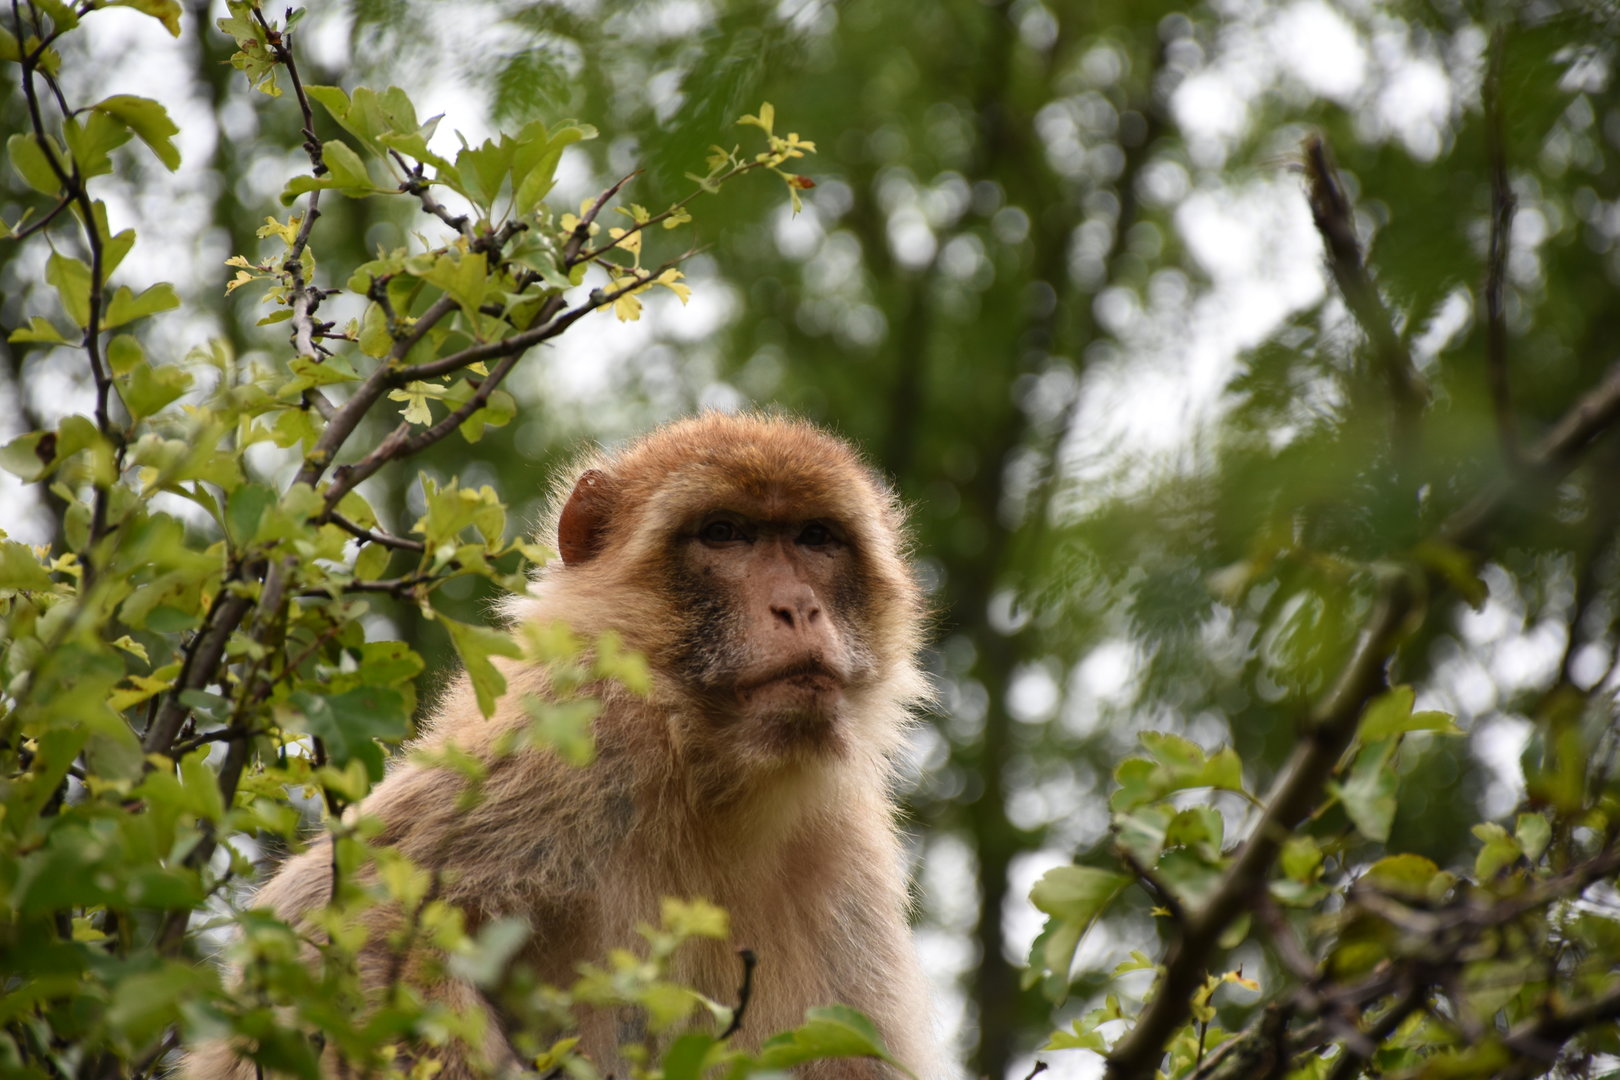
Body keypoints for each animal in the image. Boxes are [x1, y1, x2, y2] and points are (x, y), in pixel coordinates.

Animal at [185, 412, 941, 1080]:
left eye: (815, 538)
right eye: (725, 534)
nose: (797, 606)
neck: (708, 772)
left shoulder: (848, 849)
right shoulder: (570, 732)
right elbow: (336, 923)